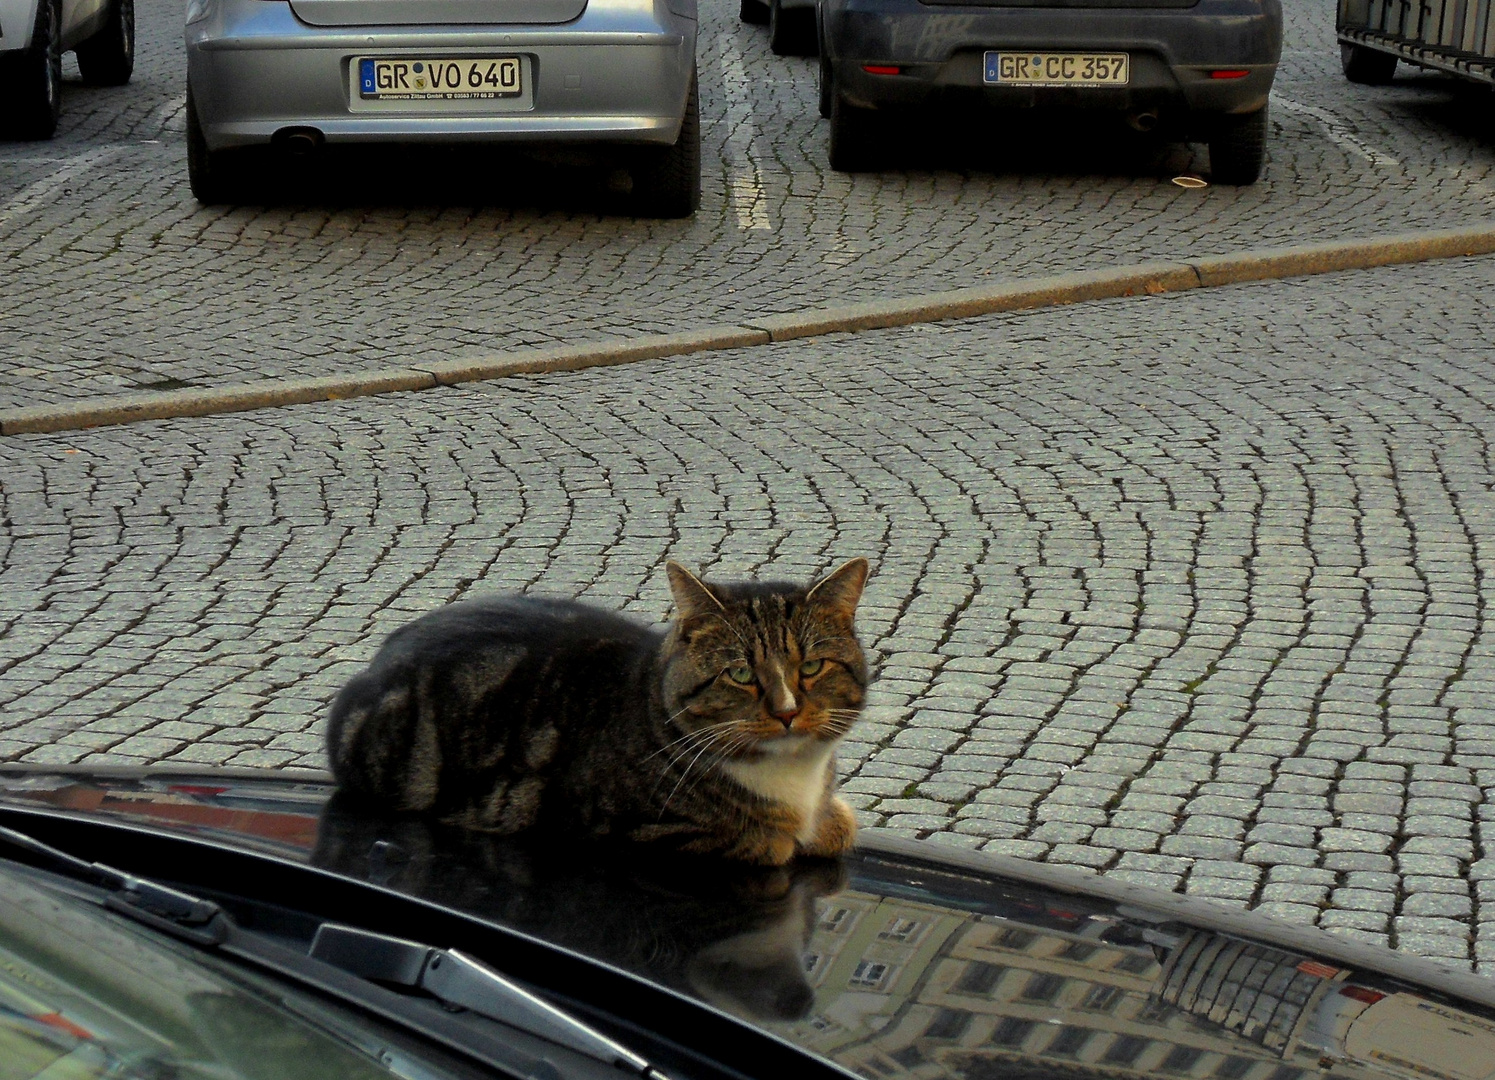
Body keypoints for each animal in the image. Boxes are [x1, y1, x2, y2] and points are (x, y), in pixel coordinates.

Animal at [321, 559, 873, 861]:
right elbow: (769, 841)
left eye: (812, 666)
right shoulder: (625, 825)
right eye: (740, 673)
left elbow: (841, 823)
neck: (795, 779)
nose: (786, 712)